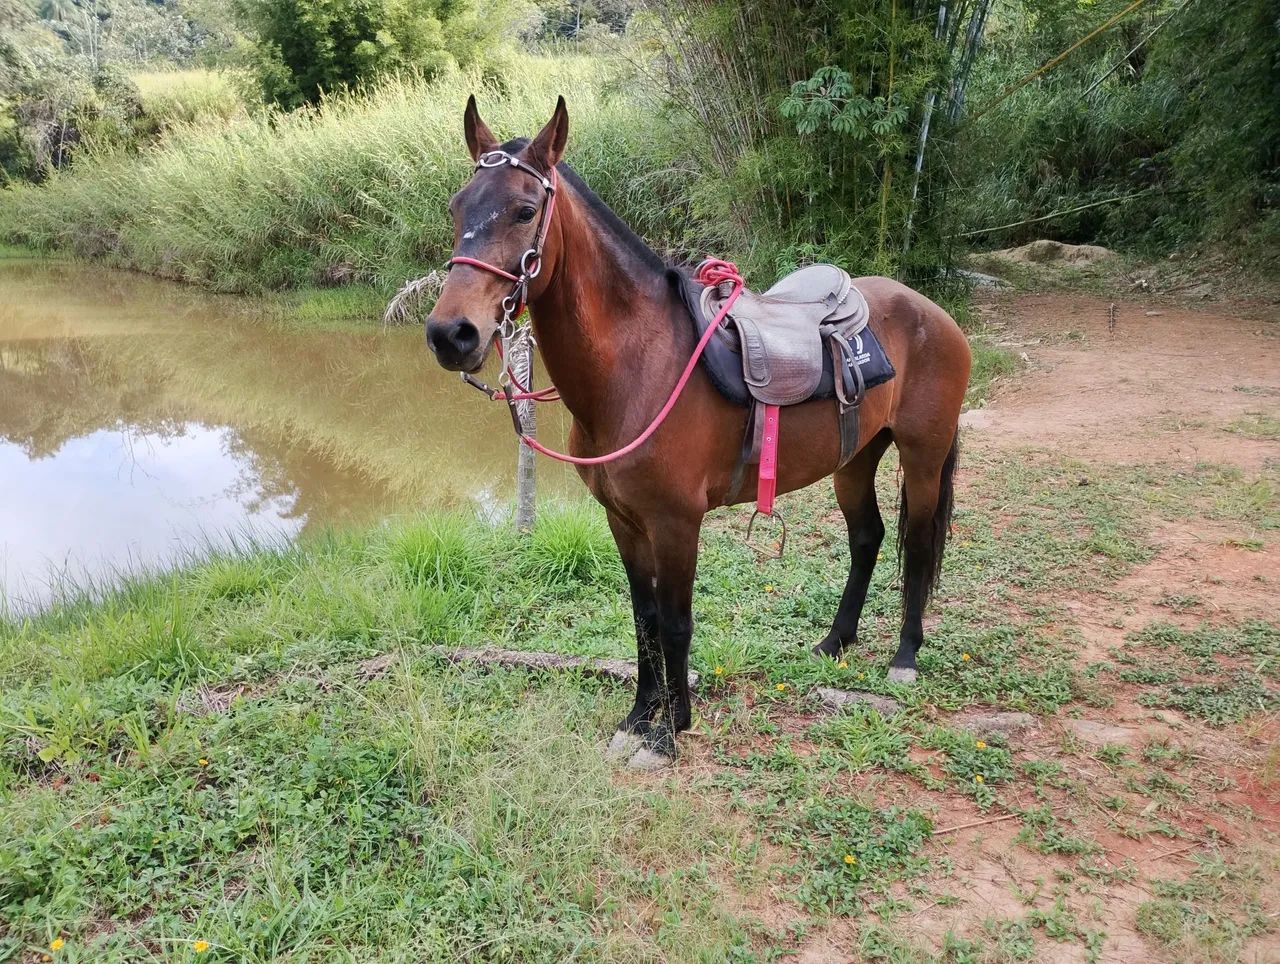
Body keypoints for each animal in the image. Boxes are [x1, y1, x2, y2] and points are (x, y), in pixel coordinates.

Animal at [425, 96, 971, 769]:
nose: (451, 334)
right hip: (854, 459)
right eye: (457, 207)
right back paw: (833, 643)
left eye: (526, 211)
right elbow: (644, 619)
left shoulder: (676, 521)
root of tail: (929, 311)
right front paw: (638, 717)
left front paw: (670, 732)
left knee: (917, 545)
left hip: (922, 458)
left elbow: (677, 623)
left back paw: (904, 657)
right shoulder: (624, 520)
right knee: (867, 538)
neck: (638, 367)